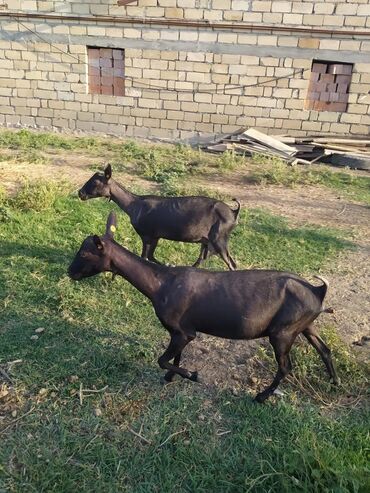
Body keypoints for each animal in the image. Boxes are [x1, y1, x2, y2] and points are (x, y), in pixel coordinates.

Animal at [67, 210, 338, 400]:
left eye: (85, 253)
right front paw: (172, 377)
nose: (70, 272)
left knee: (285, 367)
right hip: (304, 325)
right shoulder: (178, 332)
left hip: (282, 333)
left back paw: (261, 397)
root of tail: (318, 291)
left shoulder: (184, 331)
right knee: (324, 350)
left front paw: (192, 375)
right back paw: (334, 382)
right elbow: (174, 358)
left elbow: (162, 359)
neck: (161, 284)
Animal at [78, 164, 240, 270]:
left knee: (231, 263)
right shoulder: (155, 236)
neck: (134, 205)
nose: (80, 193)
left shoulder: (146, 234)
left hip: (219, 238)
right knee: (203, 257)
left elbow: (145, 257)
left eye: (95, 183)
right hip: (207, 240)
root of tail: (233, 212)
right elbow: (150, 256)